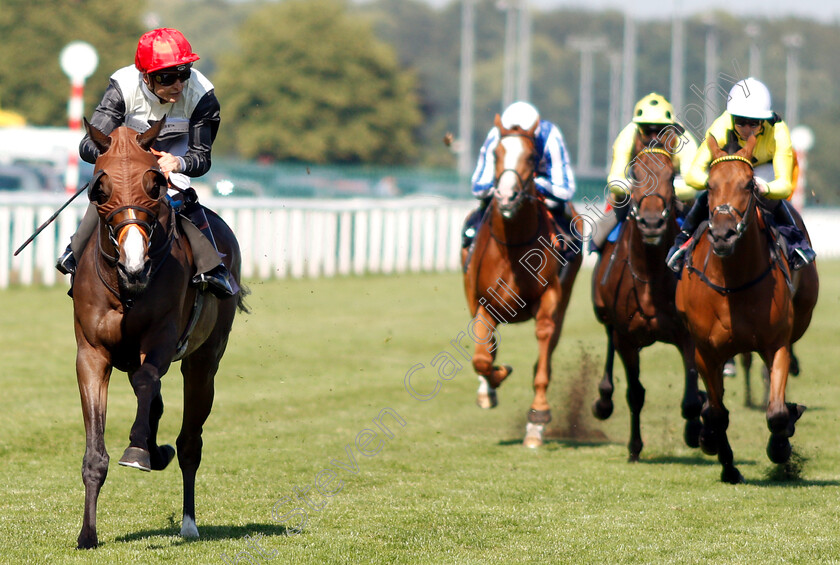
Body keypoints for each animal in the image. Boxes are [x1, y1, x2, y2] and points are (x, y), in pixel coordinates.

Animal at [71, 120, 246, 548]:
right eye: (100, 187)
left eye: (154, 183)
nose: (134, 265)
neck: (127, 290)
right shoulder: (91, 354)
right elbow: (95, 453)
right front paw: (87, 534)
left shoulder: (164, 340)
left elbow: (147, 381)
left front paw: (137, 448)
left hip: (204, 361)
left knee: (189, 442)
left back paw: (188, 521)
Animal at [462, 113, 580, 446]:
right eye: (495, 154)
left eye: (531, 156)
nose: (505, 196)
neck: (512, 248)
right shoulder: (482, 303)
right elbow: (482, 358)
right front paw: (494, 380)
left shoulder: (549, 299)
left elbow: (543, 346)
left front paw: (538, 416)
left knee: (548, 349)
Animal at [592, 134, 704, 460]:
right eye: (635, 173)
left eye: (670, 176)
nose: (652, 223)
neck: (650, 276)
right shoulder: (627, 338)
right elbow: (635, 393)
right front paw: (634, 447)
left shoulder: (687, 334)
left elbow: (691, 398)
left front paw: (694, 430)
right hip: (605, 315)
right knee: (608, 342)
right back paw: (603, 401)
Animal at [676, 131, 820, 480]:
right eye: (710, 184)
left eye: (748, 184)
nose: (723, 235)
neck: (733, 283)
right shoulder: (706, 352)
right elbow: (717, 414)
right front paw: (727, 464)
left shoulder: (776, 343)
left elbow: (777, 411)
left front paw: (780, 446)